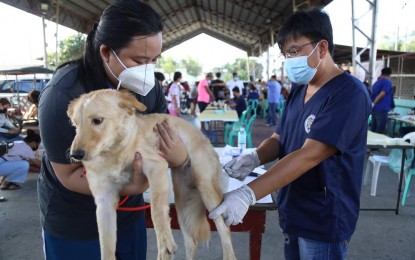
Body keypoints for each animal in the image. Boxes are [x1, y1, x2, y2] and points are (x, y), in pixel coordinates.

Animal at [68, 88, 237, 258]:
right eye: (75, 124)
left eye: (97, 120)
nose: (75, 155)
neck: (115, 153)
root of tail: (203, 137)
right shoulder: (104, 200)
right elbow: (106, 247)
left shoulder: (156, 166)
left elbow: (156, 210)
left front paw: (165, 243)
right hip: (183, 204)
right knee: (190, 243)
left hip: (207, 190)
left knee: (225, 232)